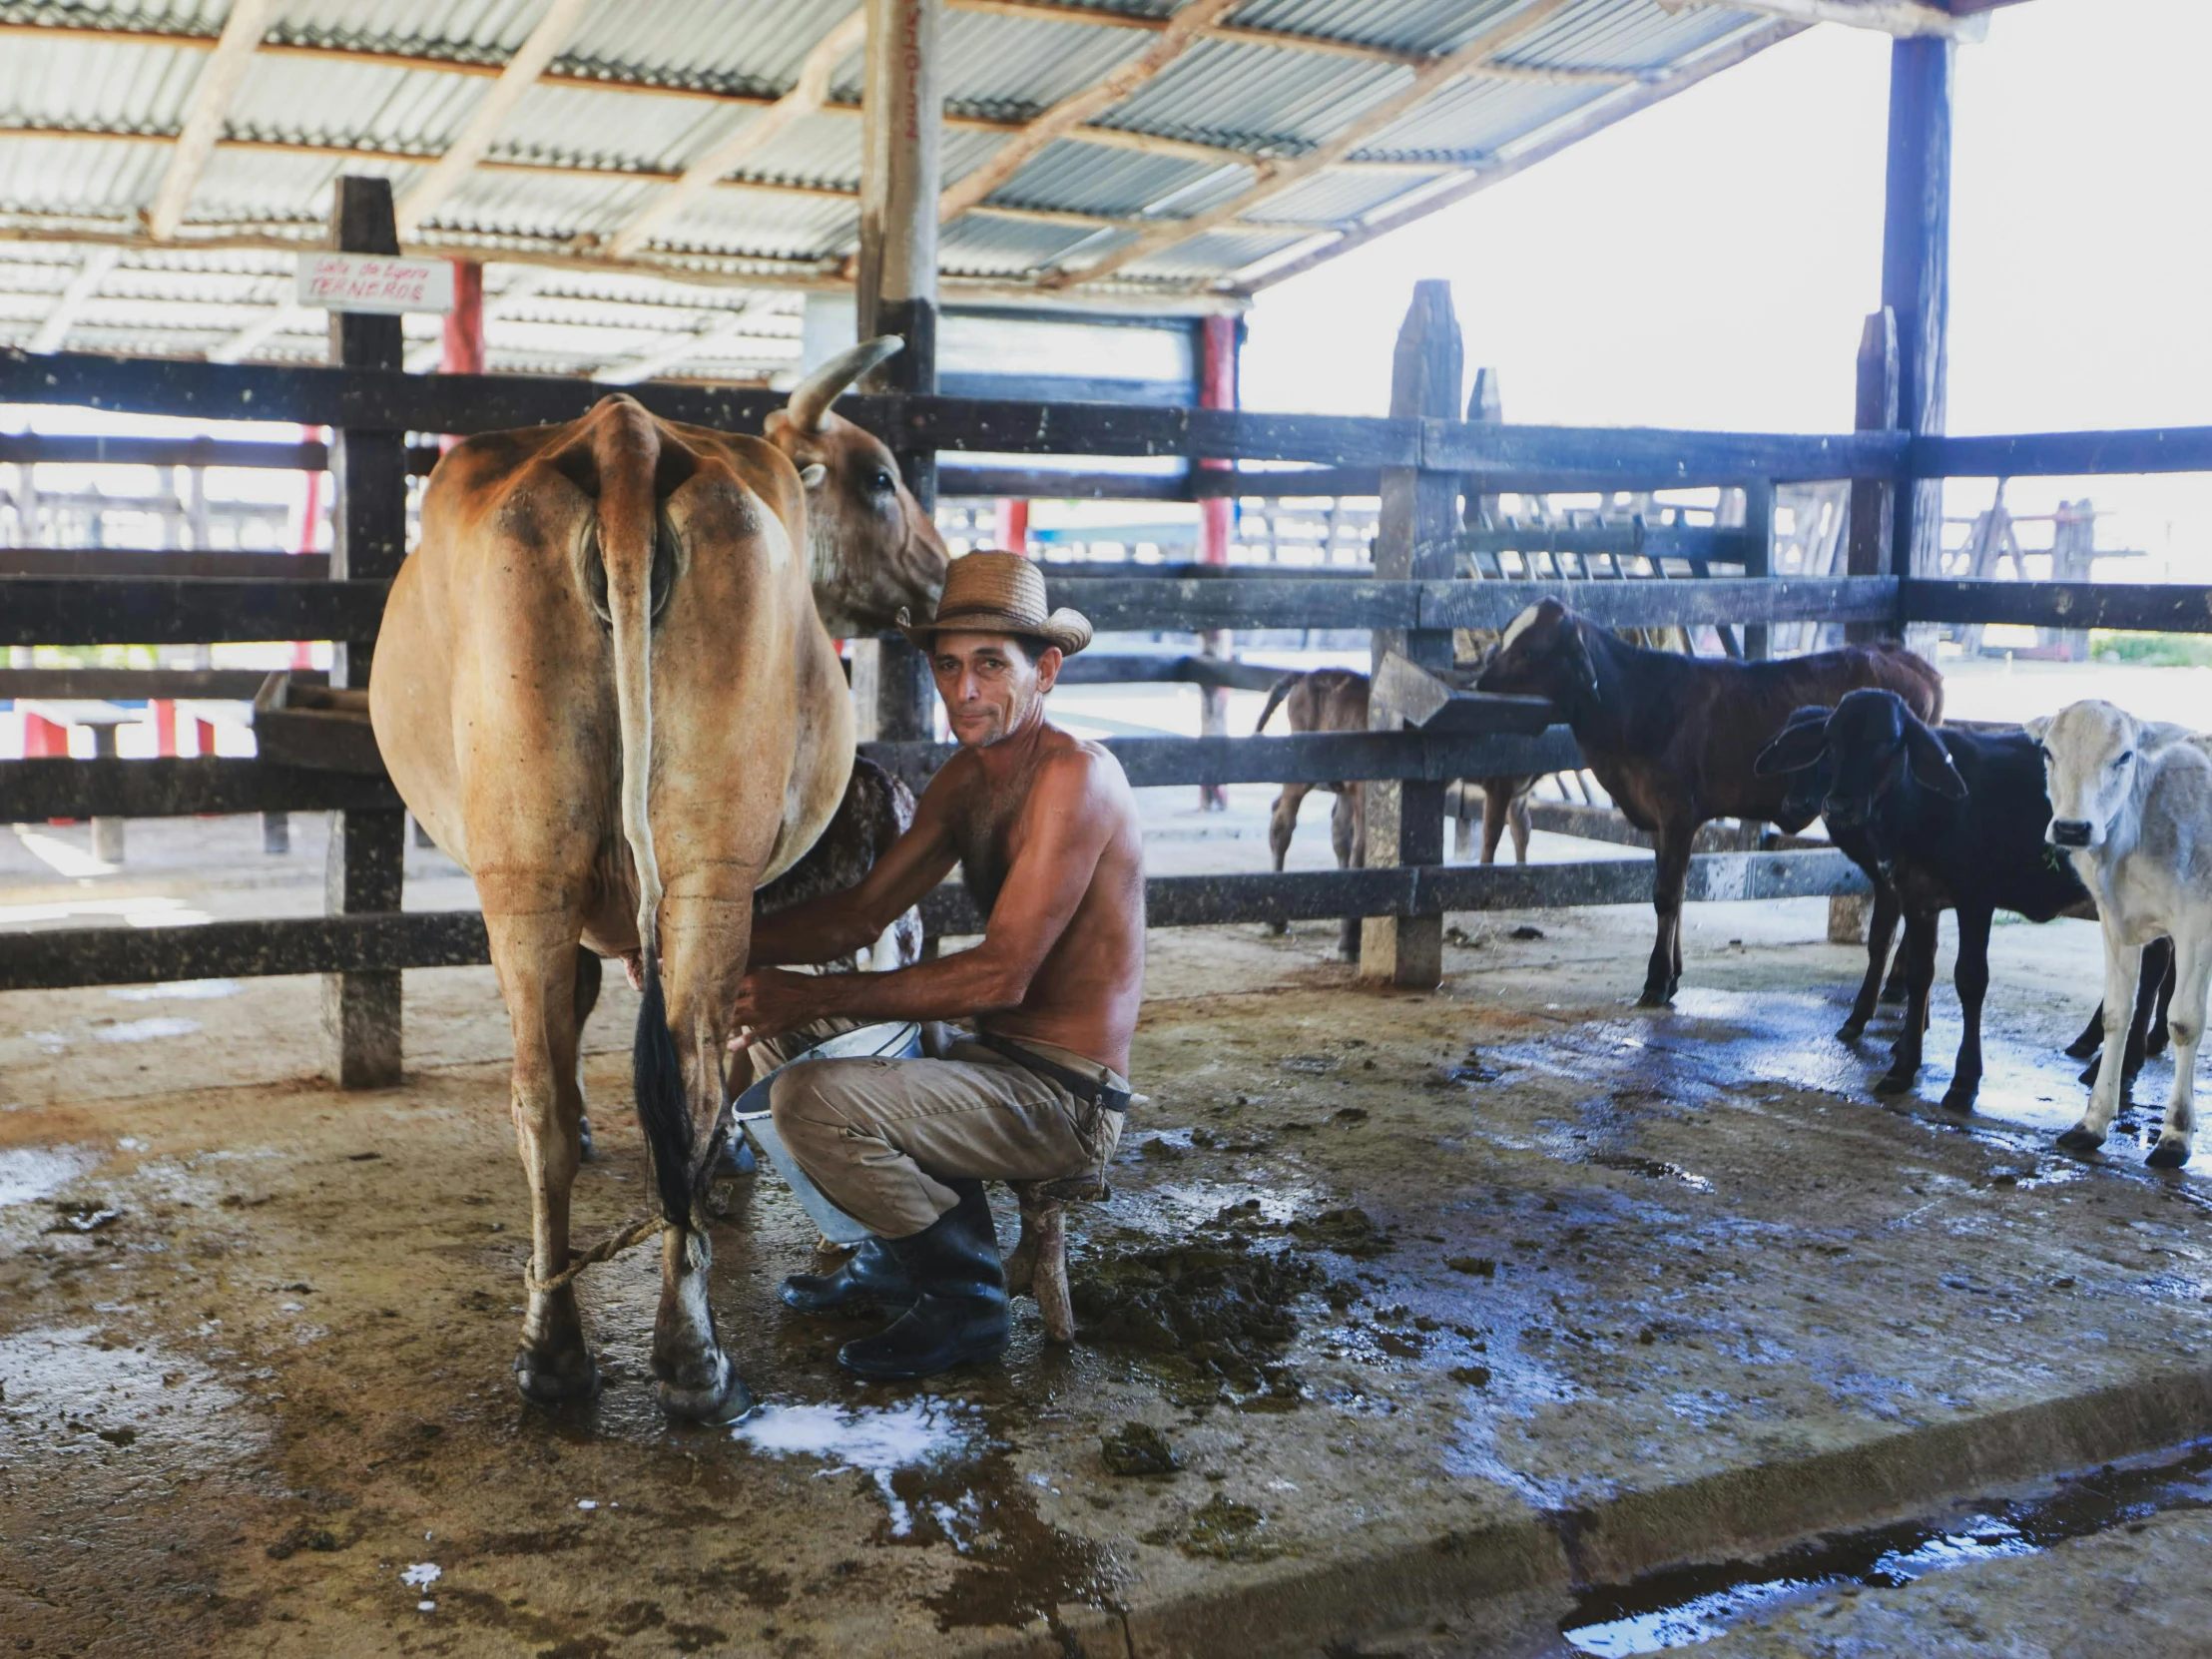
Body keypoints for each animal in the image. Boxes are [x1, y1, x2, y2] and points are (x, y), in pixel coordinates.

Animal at [373, 344, 942, 1424]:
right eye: (882, 477)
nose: (938, 571)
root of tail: (624, 436)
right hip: (661, 873)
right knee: (625, 1086)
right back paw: (632, 1355)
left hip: (555, 875)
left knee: (580, 1093)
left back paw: (625, 1356)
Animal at [1477, 606, 1946, 1008]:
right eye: (1504, 637)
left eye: (1531, 650)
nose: (1481, 683)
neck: (1635, 703)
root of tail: (1905, 656)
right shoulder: (1658, 820)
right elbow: (1680, 893)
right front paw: (1673, 976)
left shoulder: (1678, 811)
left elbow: (1666, 895)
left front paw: (1656, 981)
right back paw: (1898, 983)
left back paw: (1897, 983)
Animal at [2025, 703, 2212, 1168]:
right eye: (2048, 753)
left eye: (2125, 756)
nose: (2072, 828)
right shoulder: (2115, 922)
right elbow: (2116, 1014)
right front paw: (2092, 1122)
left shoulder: (2197, 924)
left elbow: (2184, 1022)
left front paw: (2175, 1136)